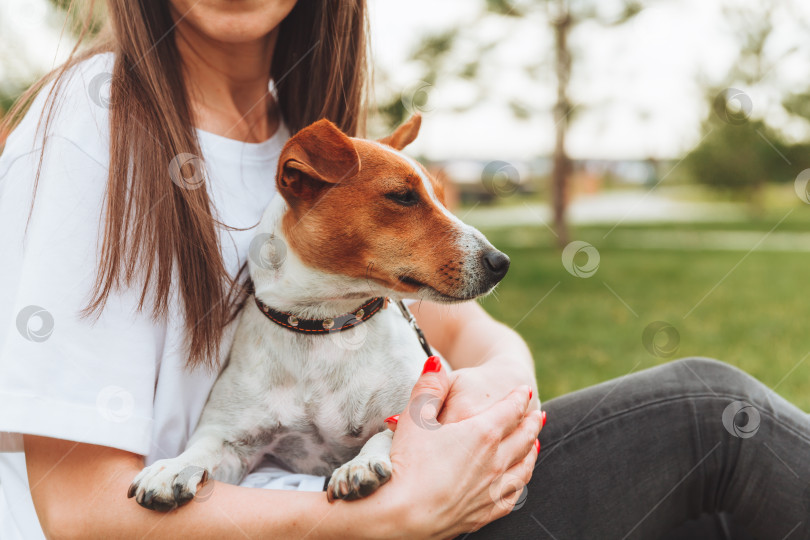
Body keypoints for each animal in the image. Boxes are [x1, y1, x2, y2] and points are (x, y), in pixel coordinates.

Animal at [129, 114, 508, 510]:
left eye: (440, 197)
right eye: (403, 196)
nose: (501, 263)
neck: (325, 322)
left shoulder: (415, 409)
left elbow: (387, 434)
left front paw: (360, 464)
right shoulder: (233, 441)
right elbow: (203, 448)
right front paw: (173, 466)